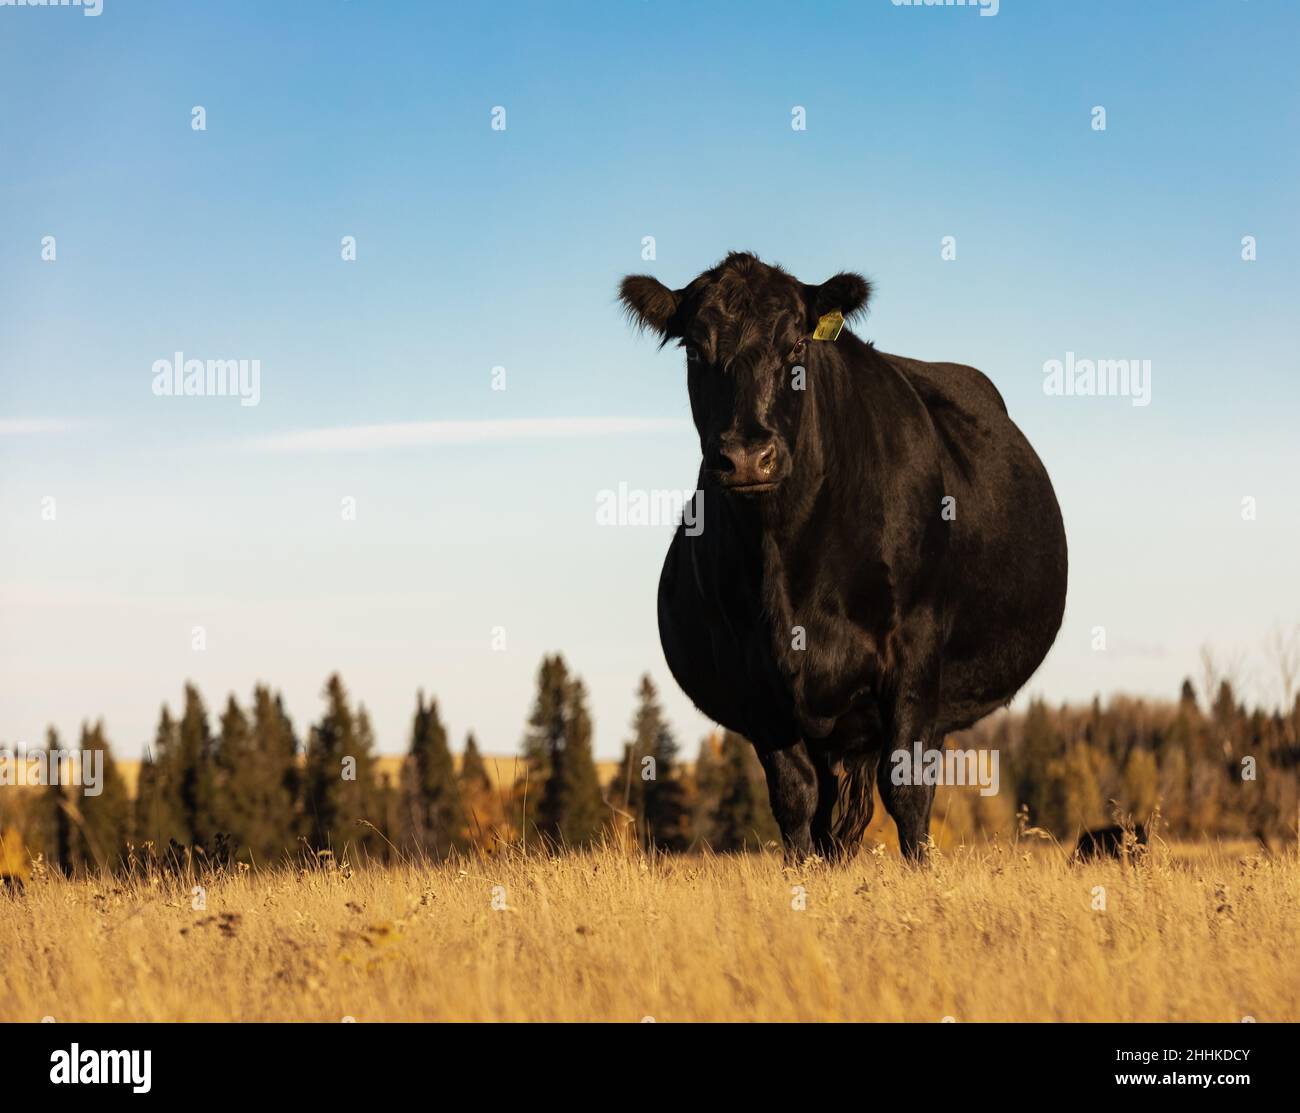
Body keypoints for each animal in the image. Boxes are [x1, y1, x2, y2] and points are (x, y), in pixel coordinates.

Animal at [618, 252, 1066, 863]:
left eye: (796, 347)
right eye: (694, 350)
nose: (748, 456)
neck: (787, 560)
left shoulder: (915, 650)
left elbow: (906, 790)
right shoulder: (753, 674)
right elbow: (794, 798)